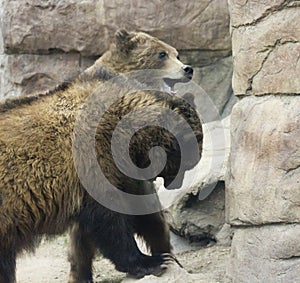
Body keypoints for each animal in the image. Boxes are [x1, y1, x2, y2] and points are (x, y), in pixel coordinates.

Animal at [0, 30, 204, 282]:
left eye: (177, 53)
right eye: (162, 54)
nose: (188, 68)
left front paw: (166, 254)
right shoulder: (93, 162)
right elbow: (109, 221)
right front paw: (152, 261)